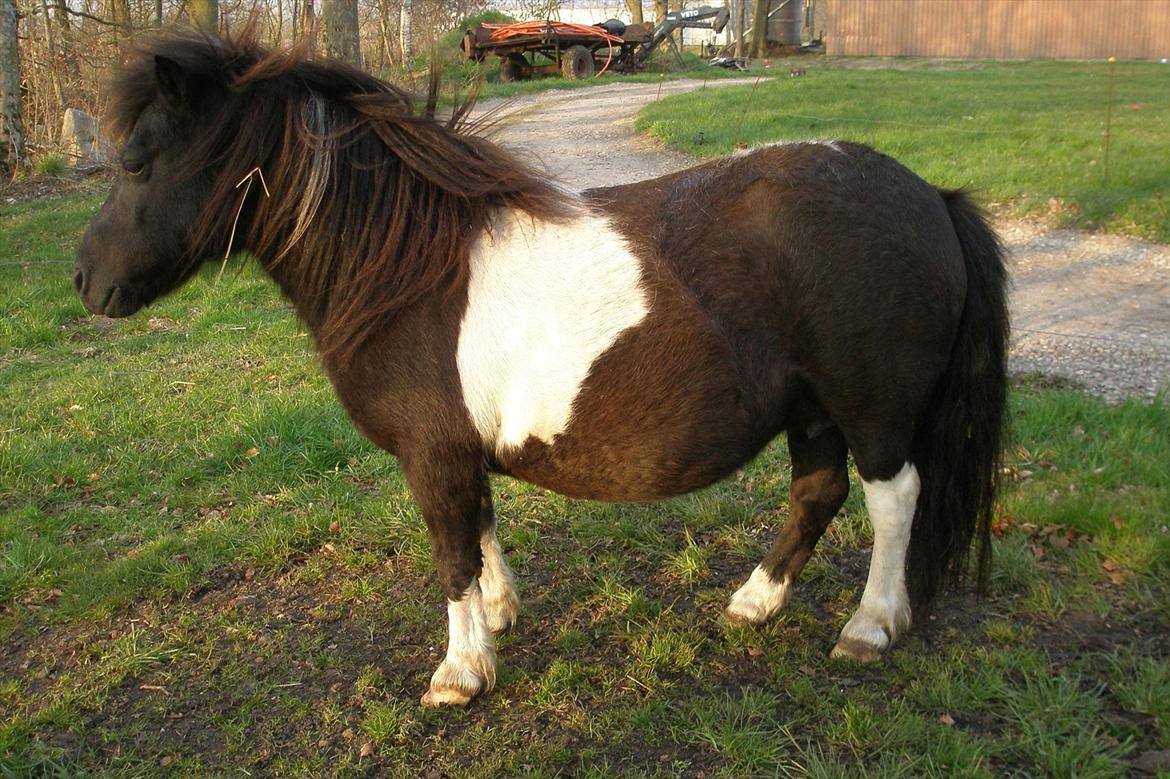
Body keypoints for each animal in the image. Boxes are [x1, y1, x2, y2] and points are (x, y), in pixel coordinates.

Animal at [70, 31, 1006, 701]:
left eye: (134, 161)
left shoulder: (431, 455)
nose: (86, 280)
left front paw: (460, 672)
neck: (408, 268)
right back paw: (754, 604)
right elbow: (481, 530)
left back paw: (870, 626)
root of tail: (931, 196)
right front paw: (499, 615)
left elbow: (450, 552)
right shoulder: (456, 448)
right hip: (811, 409)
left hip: (872, 407)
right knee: (817, 493)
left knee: (893, 500)